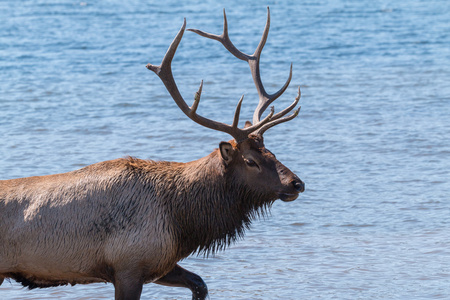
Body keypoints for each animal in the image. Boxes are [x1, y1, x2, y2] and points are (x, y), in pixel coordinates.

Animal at [0, 7, 306, 300]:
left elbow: (200, 284)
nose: (297, 183)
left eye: (271, 152)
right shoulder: (128, 266)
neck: (183, 222)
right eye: (251, 162)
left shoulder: (160, 264)